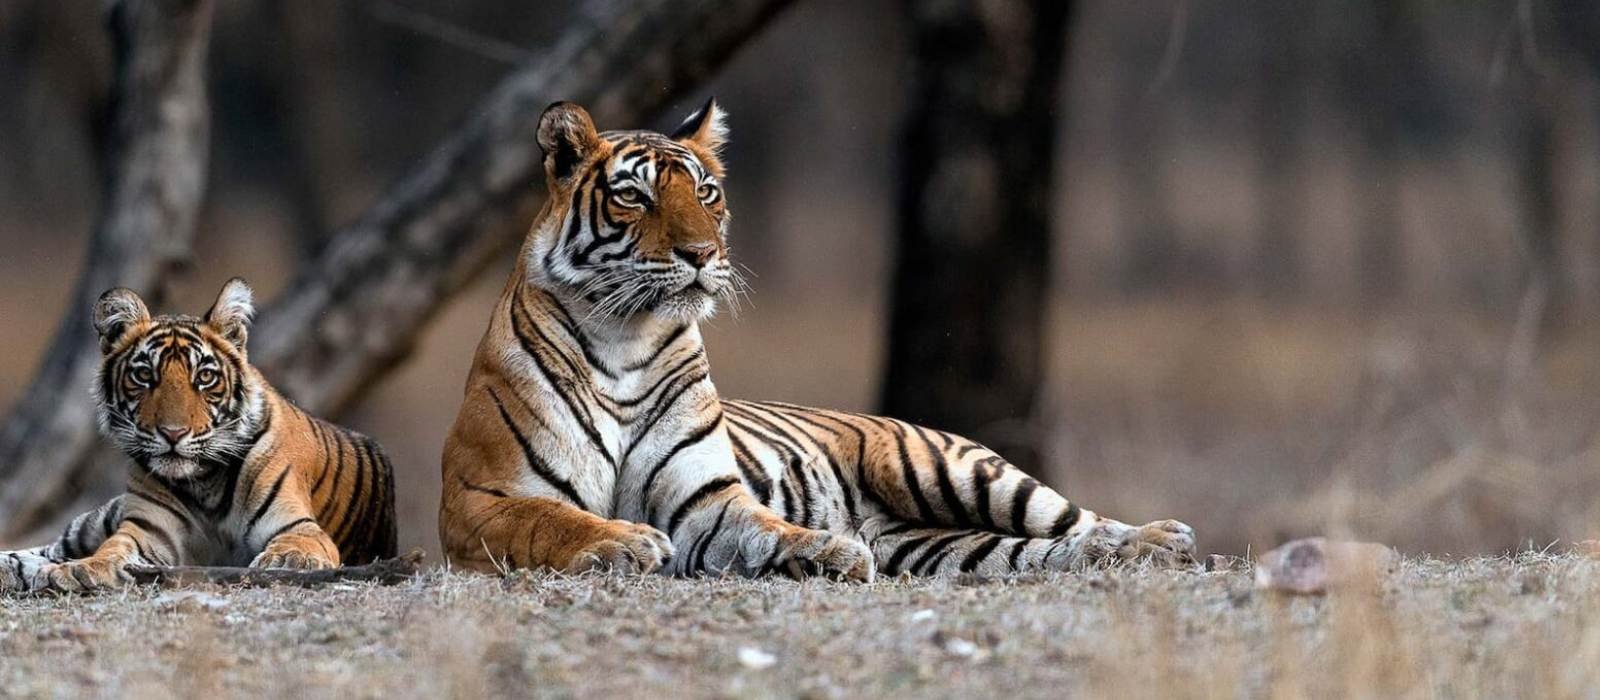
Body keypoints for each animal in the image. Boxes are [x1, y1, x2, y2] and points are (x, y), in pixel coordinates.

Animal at [0, 279, 398, 593]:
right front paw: (80, 570)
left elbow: (296, 545)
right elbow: (111, 549)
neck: (203, 481)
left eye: (204, 377)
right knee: (51, 547)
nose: (173, 433)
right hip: (99, 518)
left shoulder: (297, 525)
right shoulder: (147, 532)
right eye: (144, 375)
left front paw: (288, 561)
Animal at [438, 100, 1197, 581]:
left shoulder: (704, 498)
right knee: (1035, 552)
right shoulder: (478, 498)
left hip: (955, 470)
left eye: (706, 193)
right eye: (636, 197)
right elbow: (553, 520)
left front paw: (828, 551)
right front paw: (629, 544)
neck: (626, 336)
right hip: (937, 544)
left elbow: (764, 527)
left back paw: (1161, 539)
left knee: (1076, 519)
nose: (701, 254)